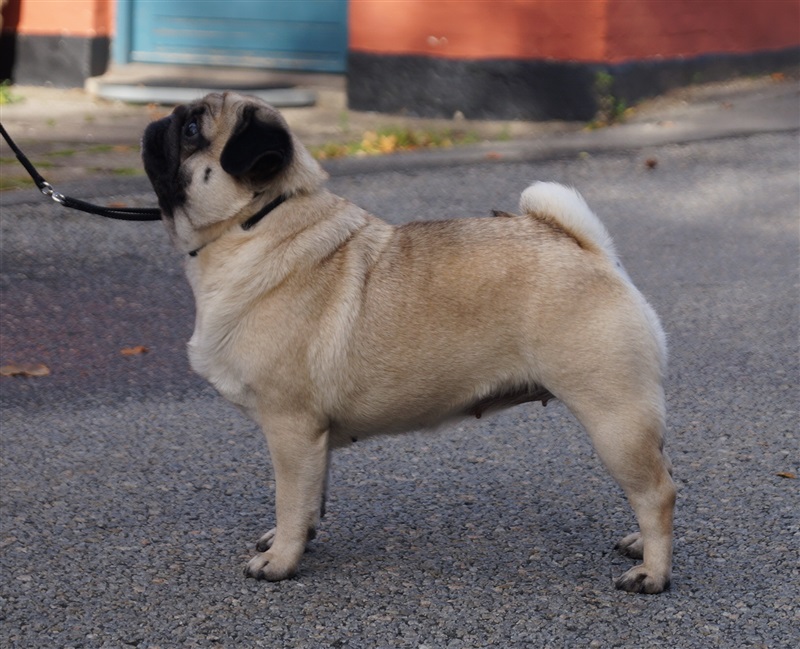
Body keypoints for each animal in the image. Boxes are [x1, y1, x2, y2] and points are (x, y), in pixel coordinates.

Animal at [141, 92, 676, 594]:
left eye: (192, 129)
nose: (157, 123)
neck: (255, 224)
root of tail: (590, 251)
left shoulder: (290, 428)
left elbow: (290, 500)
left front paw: (280, 561)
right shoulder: (312, 440)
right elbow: (311, 500)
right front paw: (294, 541)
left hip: (612, 416)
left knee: (657, 493)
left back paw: (652, 573)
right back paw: (639, 545)